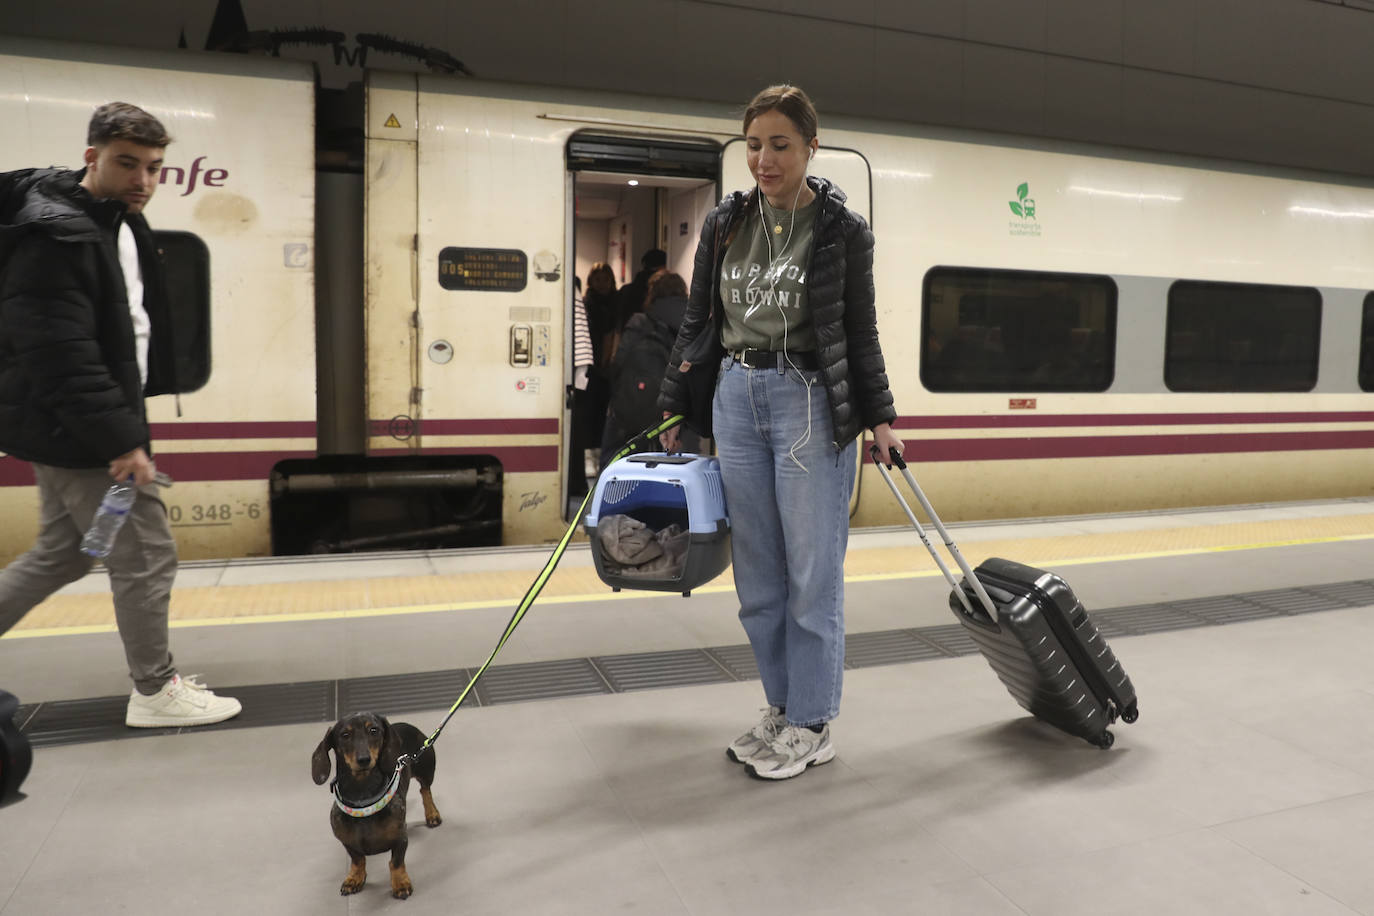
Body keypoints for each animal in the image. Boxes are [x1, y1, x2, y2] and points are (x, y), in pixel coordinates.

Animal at [310, 714, 439, 900]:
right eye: (345, 735)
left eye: (374, 730)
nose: (364, 759)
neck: (364, 801)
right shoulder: (347, 842)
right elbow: (358, 860)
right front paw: (354, 879)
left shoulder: (401, 838)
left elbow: (396, 862)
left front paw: (401, 884)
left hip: (426, 771)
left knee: (425, 790)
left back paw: (432, 814)